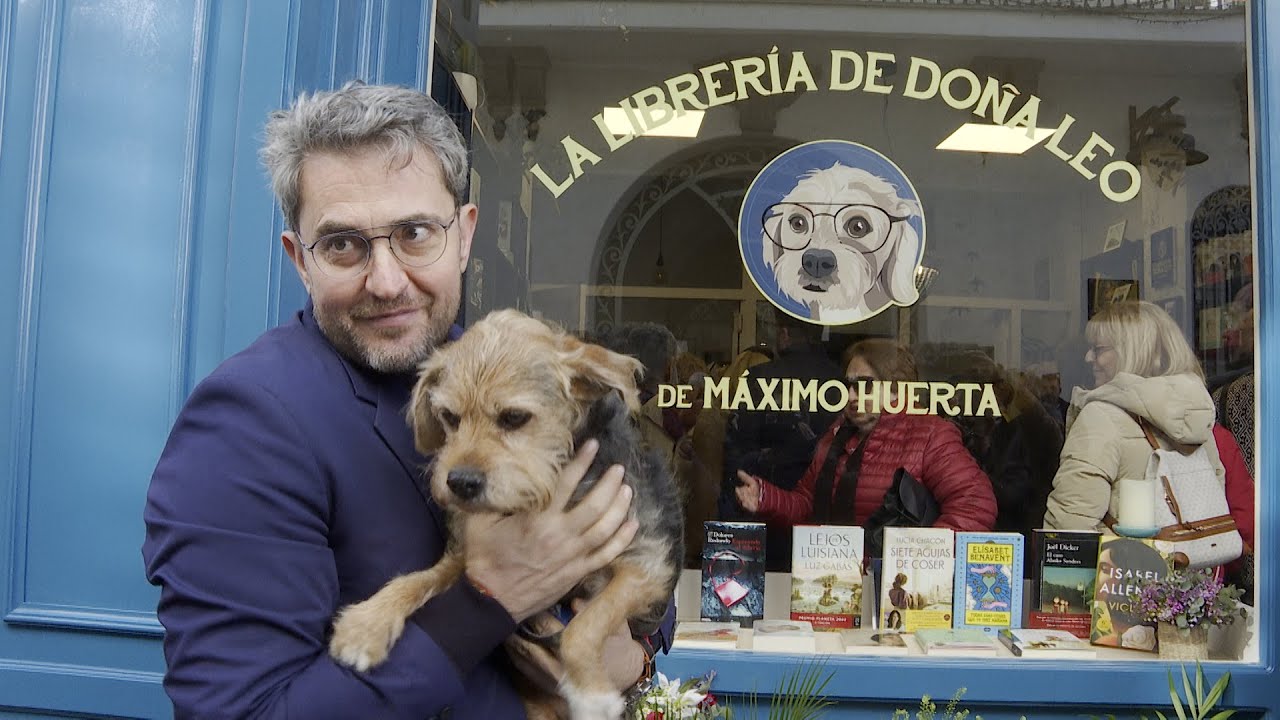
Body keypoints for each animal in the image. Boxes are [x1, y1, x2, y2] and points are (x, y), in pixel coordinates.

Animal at [330, 307, 691, 717]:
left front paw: (591, 695)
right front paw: (365, 625)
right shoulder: (470, 559)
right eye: (449, 417)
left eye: (515, 417)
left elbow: (583, 627)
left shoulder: (645, 568)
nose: (460, 482)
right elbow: (413, 580)